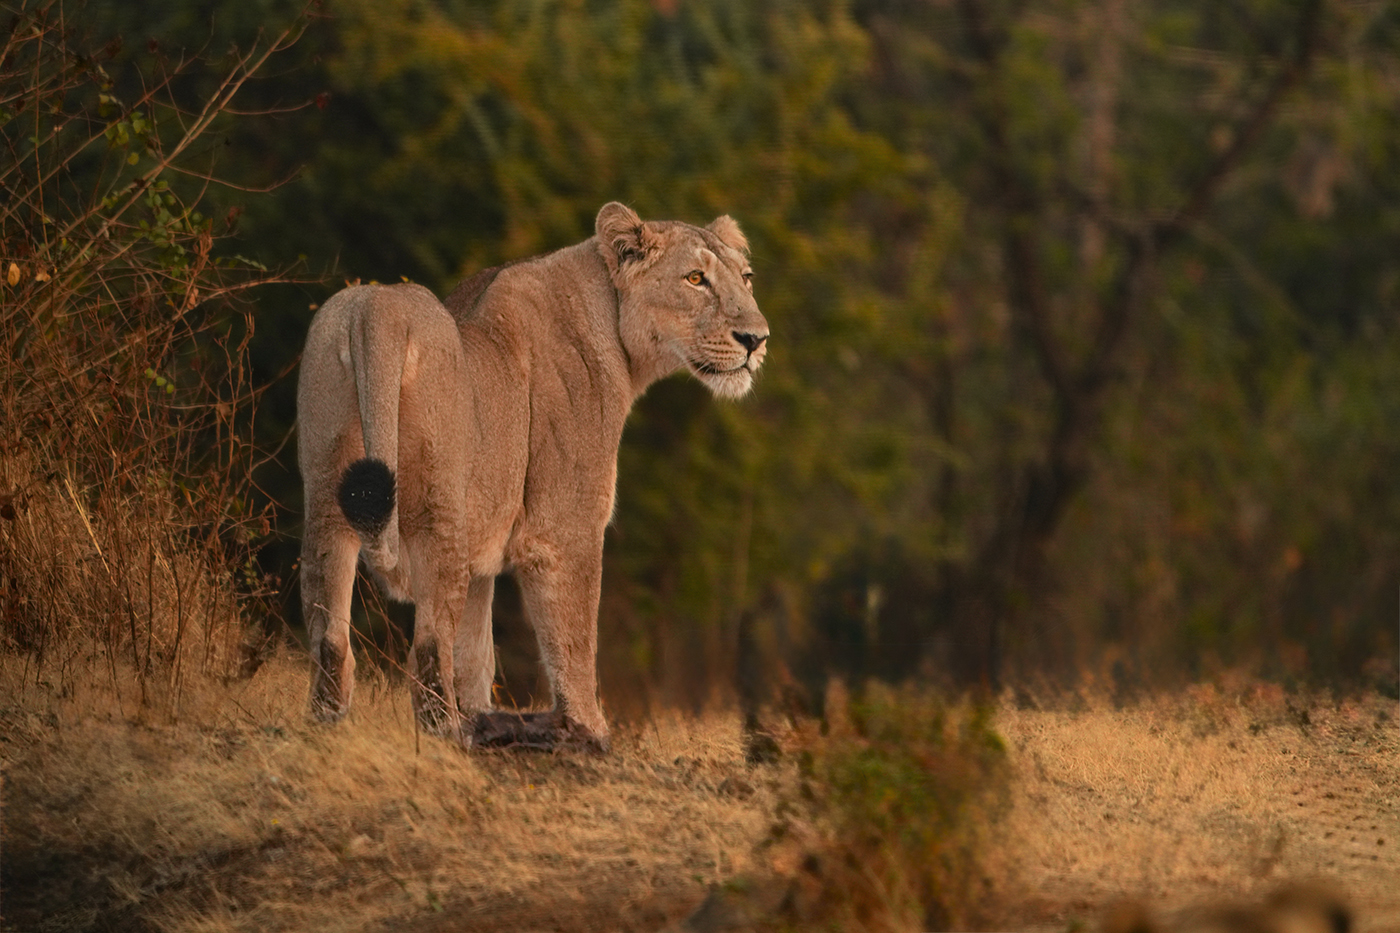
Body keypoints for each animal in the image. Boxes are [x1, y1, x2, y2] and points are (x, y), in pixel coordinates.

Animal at [297, 202, 768, 750]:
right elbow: (576, 636)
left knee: (330, 637)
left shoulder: (483, 548)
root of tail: (377, 310)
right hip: (439, 505)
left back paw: (330, 725)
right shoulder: (565, 527)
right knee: (428, 647)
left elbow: (476, 652)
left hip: (328, 494)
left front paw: (482, 712)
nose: (756, 340)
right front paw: (590, 730)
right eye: (695, 279)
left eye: (746, 277)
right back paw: (448, 735)